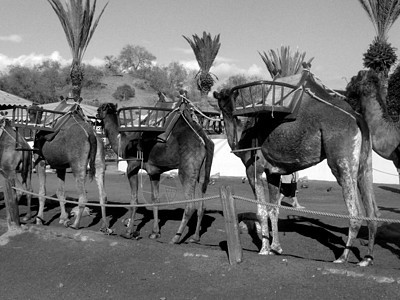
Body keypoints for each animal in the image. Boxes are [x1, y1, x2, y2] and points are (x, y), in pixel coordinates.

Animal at [32, 104, 109, 233]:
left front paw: (39, 220)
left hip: (77, 163)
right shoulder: (60, 166)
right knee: (103, 194)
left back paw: (75, 224)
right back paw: (104, 226)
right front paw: (63, 219)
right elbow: (60, 192)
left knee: (83, 196)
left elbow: (42, 192)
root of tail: (91, 133)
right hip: (99, 158)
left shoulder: (40, 161)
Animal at [96, 101, 214, 244]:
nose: (95, 114)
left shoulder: (132, 166)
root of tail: (203, 140)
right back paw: (195, 237)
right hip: (201, 172)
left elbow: (134, 200)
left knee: (190, 205)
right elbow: (155, 199)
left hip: (187, 169)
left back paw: (175, 238)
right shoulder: (154, 172)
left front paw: (128, 232)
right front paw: (155, 233)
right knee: (202, 204)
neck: (123, 141)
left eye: (101, 108)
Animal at [214, 71, 380, 268]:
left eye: (228, 97)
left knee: (355, 212)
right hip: (364, 163)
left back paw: (342, 257)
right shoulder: (273, 172)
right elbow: (273, 210)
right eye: (223, 98)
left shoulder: (254, 169)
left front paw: (264, 249)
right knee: (372, 210)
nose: (226, 107)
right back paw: (367, 258)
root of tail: (357, 118)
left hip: (341, 160)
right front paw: (276, 248)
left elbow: (261, 211)